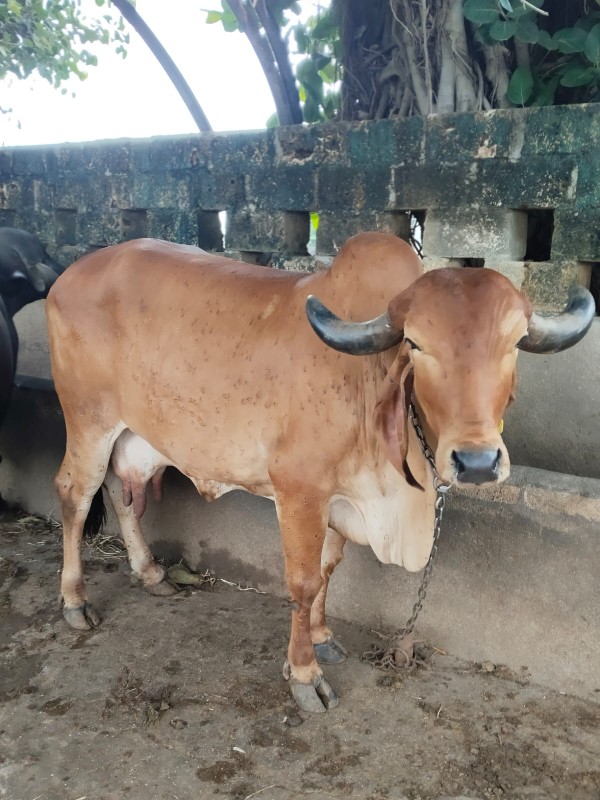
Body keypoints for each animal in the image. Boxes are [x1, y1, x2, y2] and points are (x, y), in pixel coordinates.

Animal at [45, 231, 595, 713]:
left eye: (515, 342)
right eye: (416, 344)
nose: (477, 462)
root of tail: (68, 276)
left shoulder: (340, 500)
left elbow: (330, 569)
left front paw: (323, 637)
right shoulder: (299, 492)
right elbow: (304, 581)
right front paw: (305, 674)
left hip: (130, 436)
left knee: (121, 493)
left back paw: (150, 572)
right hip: (89, 423)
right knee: (75, 494)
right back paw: (74, 601)